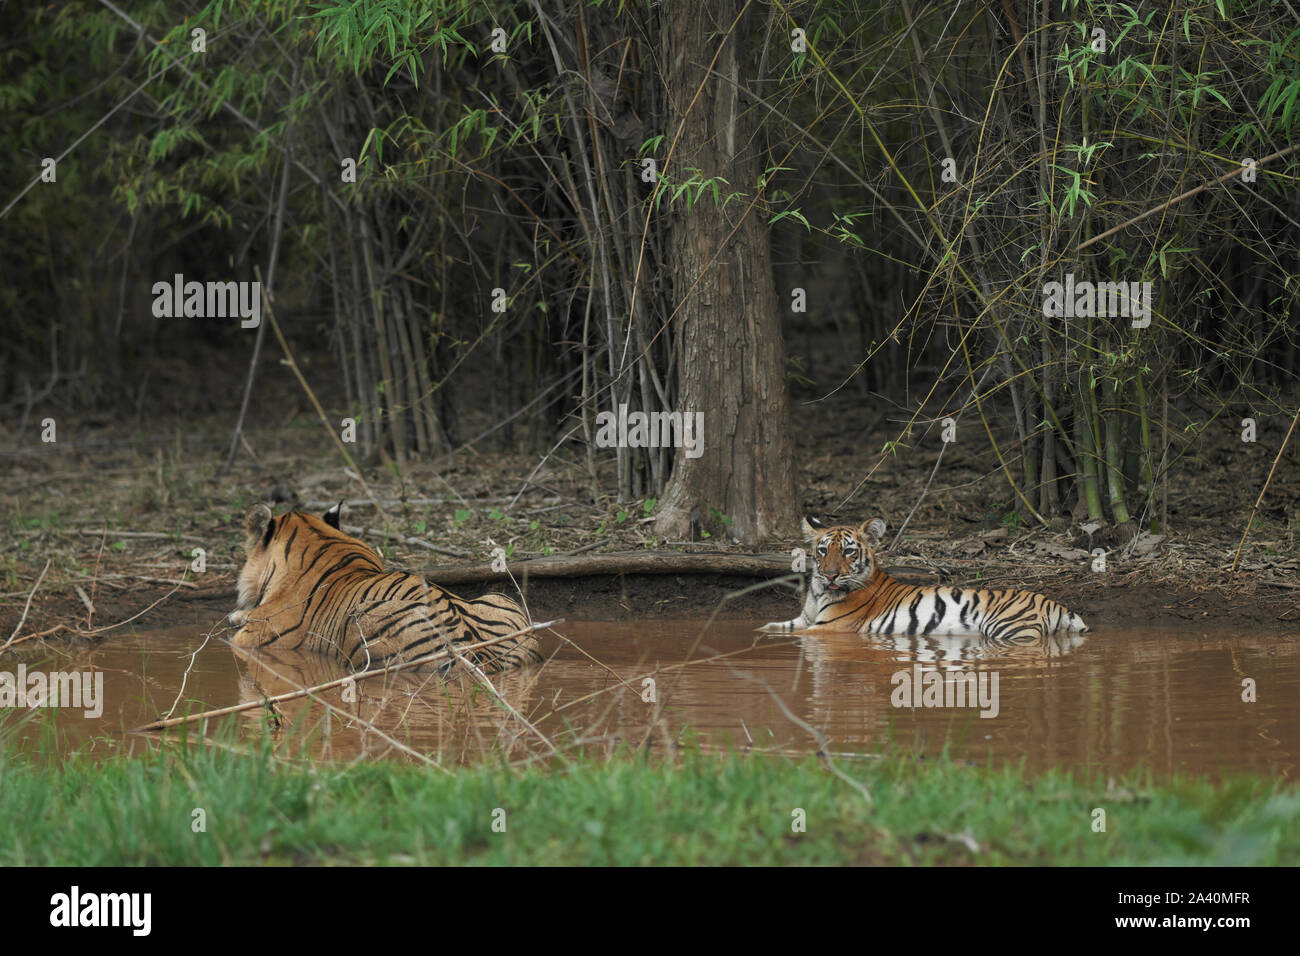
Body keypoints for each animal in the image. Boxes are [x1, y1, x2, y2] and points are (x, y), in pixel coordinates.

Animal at [759, 515, 1086, 642]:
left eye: (849, 551)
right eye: (823, 550)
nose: (830, 575)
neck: (819, 593)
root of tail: (1057, 605)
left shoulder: (831, 629)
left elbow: (793, 635)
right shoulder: (804, 619)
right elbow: (771, 627)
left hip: (1009, 629)